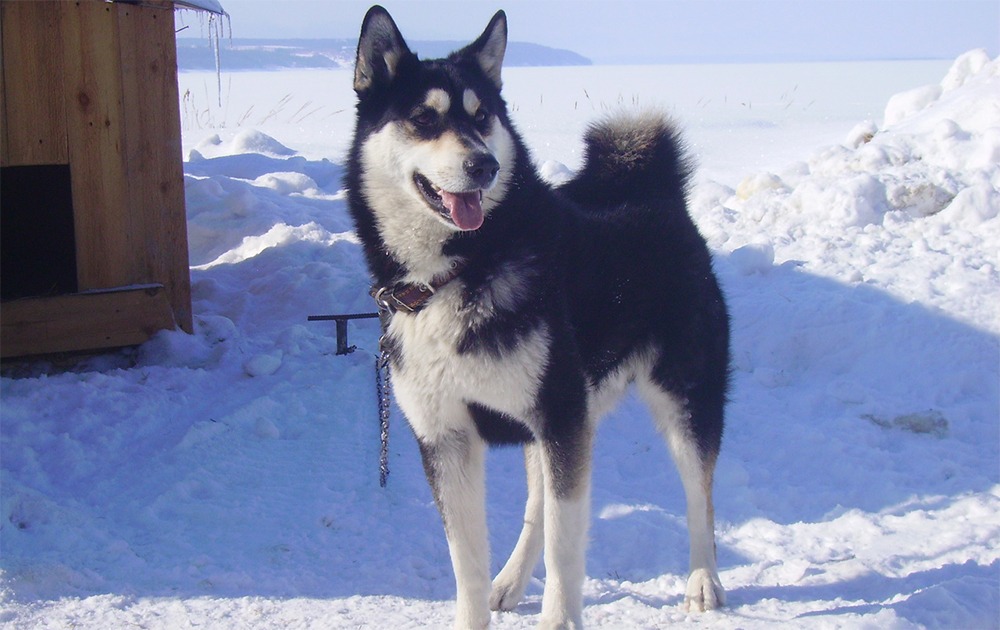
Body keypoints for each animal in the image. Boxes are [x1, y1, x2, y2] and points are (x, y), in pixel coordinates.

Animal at [345, 6, 730, 628]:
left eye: (482, 116)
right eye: (424, 118)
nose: (483, 164)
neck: (460, 270)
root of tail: (656, 193)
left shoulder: (560, 420)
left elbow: (566, 547)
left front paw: (560, 617)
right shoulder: (448, 438)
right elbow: (469, 564)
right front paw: (482, 598)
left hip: (681, 396)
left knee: (701, 496)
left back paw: (703, 580)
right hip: (556, 416)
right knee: (538, 505)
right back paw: (510, 579)